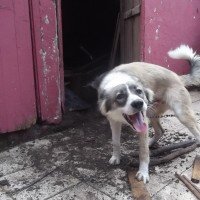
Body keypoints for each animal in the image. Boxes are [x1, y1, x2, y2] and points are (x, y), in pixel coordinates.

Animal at [92, 45, 200, 183]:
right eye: (120, 96)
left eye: (139, 91)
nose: (138, 103)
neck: (119, 80)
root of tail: (178, 76)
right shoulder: (114, 121)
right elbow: (115, 142)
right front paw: (116, 157)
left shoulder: (142, 122)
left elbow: (143, 152)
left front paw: (143, 173)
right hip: (151, 113)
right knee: (160, 131)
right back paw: (150, 142)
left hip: (182, 115)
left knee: (196, 132)